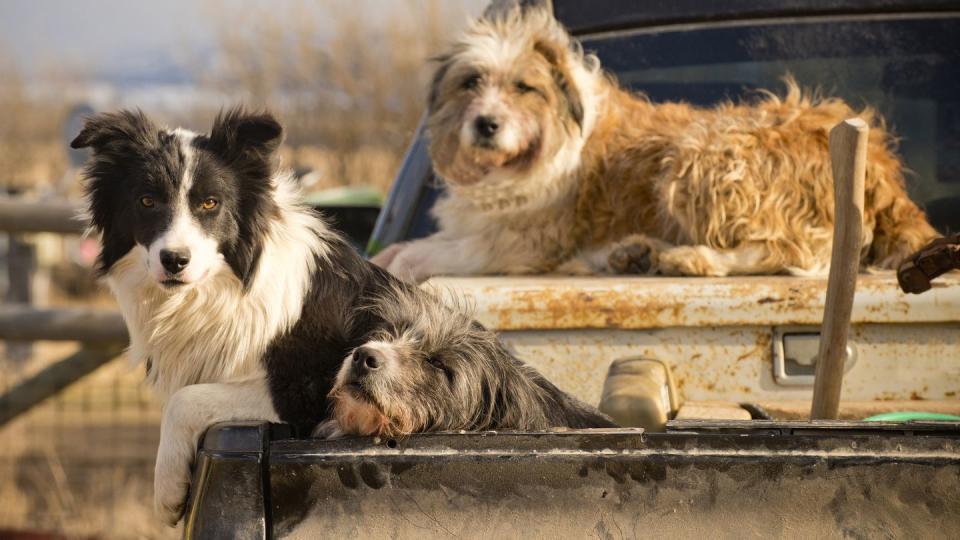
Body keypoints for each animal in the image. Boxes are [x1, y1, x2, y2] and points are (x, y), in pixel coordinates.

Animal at [73, 107, 616, 524]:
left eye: (210, 203)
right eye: (147, 201)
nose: (174, 260)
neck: (224, 288)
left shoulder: (298, 394)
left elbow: (183, 401)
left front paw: (167, 493)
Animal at [372, 7, 932, 282]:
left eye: (523, 87)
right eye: (471, 82)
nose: (485, 124)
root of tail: (879, 165)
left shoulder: (523, 241)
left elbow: (431, 253)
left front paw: (402, 264)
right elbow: (412, 245)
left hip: (700, 157)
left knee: (793, 252)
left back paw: (692, 259)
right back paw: (638, 254)